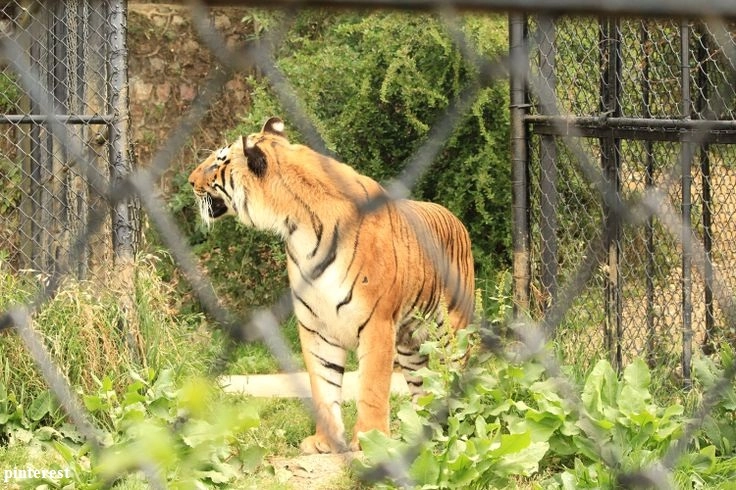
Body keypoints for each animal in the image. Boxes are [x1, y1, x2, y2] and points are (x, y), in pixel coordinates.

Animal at [188, 117, 478, 454]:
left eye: (217, 162)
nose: (190, 181)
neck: (297, 226)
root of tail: (454, 218)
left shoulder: (377, 322)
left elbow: (372, 387)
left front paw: (368, 439)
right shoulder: (316, 325)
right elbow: (323, 385)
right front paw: (324, 441)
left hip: (452, 331)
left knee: (455, 371)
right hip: (410, 345)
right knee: (423, 384)